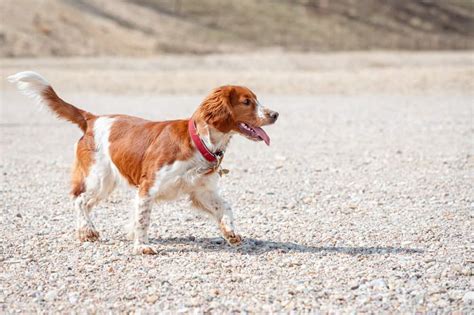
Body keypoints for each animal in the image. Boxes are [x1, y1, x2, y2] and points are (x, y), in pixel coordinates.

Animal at [8, 71, 278, 254]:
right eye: (246, 102)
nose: (275, 114)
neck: (199, 141)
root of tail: (92, 119)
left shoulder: (202, 190)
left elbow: (226, 207)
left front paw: (231, 232)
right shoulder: (149, 187)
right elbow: (143, 218)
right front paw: (142, 246)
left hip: (105, 182)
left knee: (84, 201)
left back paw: (84, 231)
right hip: (99, 178)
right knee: (79, 199)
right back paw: (87, 230)